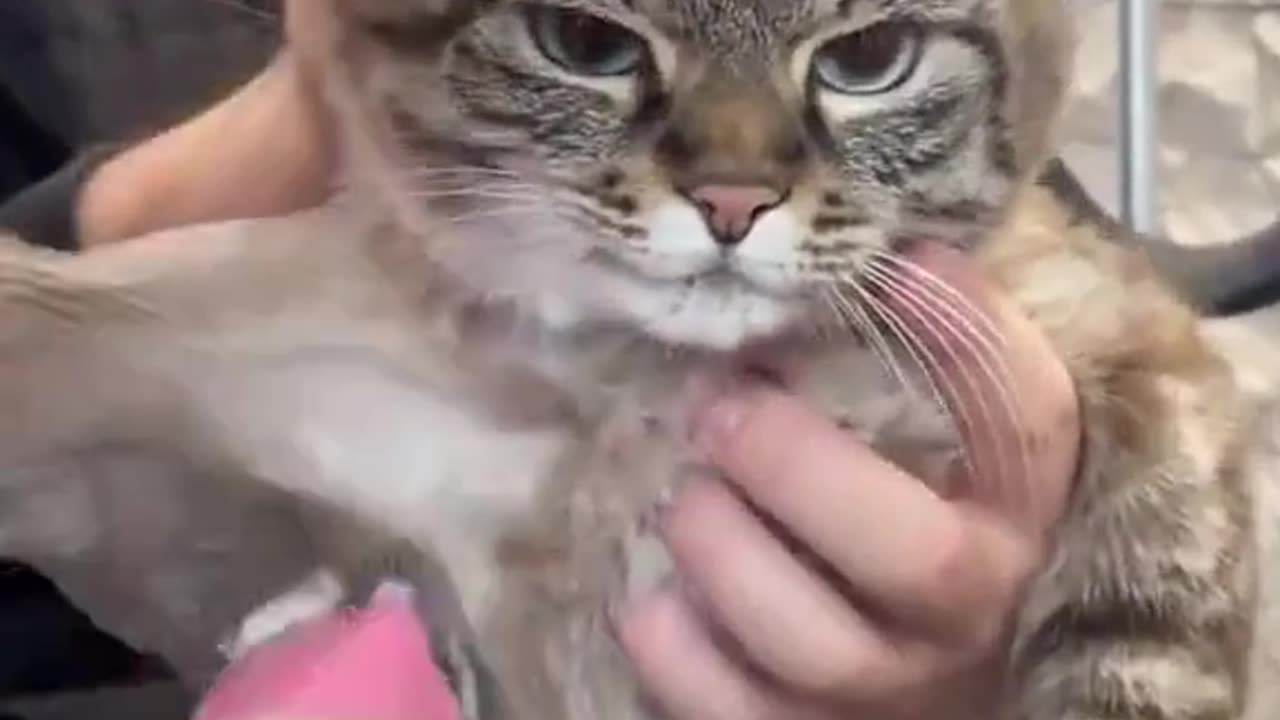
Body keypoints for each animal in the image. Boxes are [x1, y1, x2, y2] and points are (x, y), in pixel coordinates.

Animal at [2, 0, 1280, 712]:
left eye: (867, 58)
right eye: (584, 42)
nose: (730, 203)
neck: (643, 389)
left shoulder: (1114, 353)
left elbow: (1140, 632)